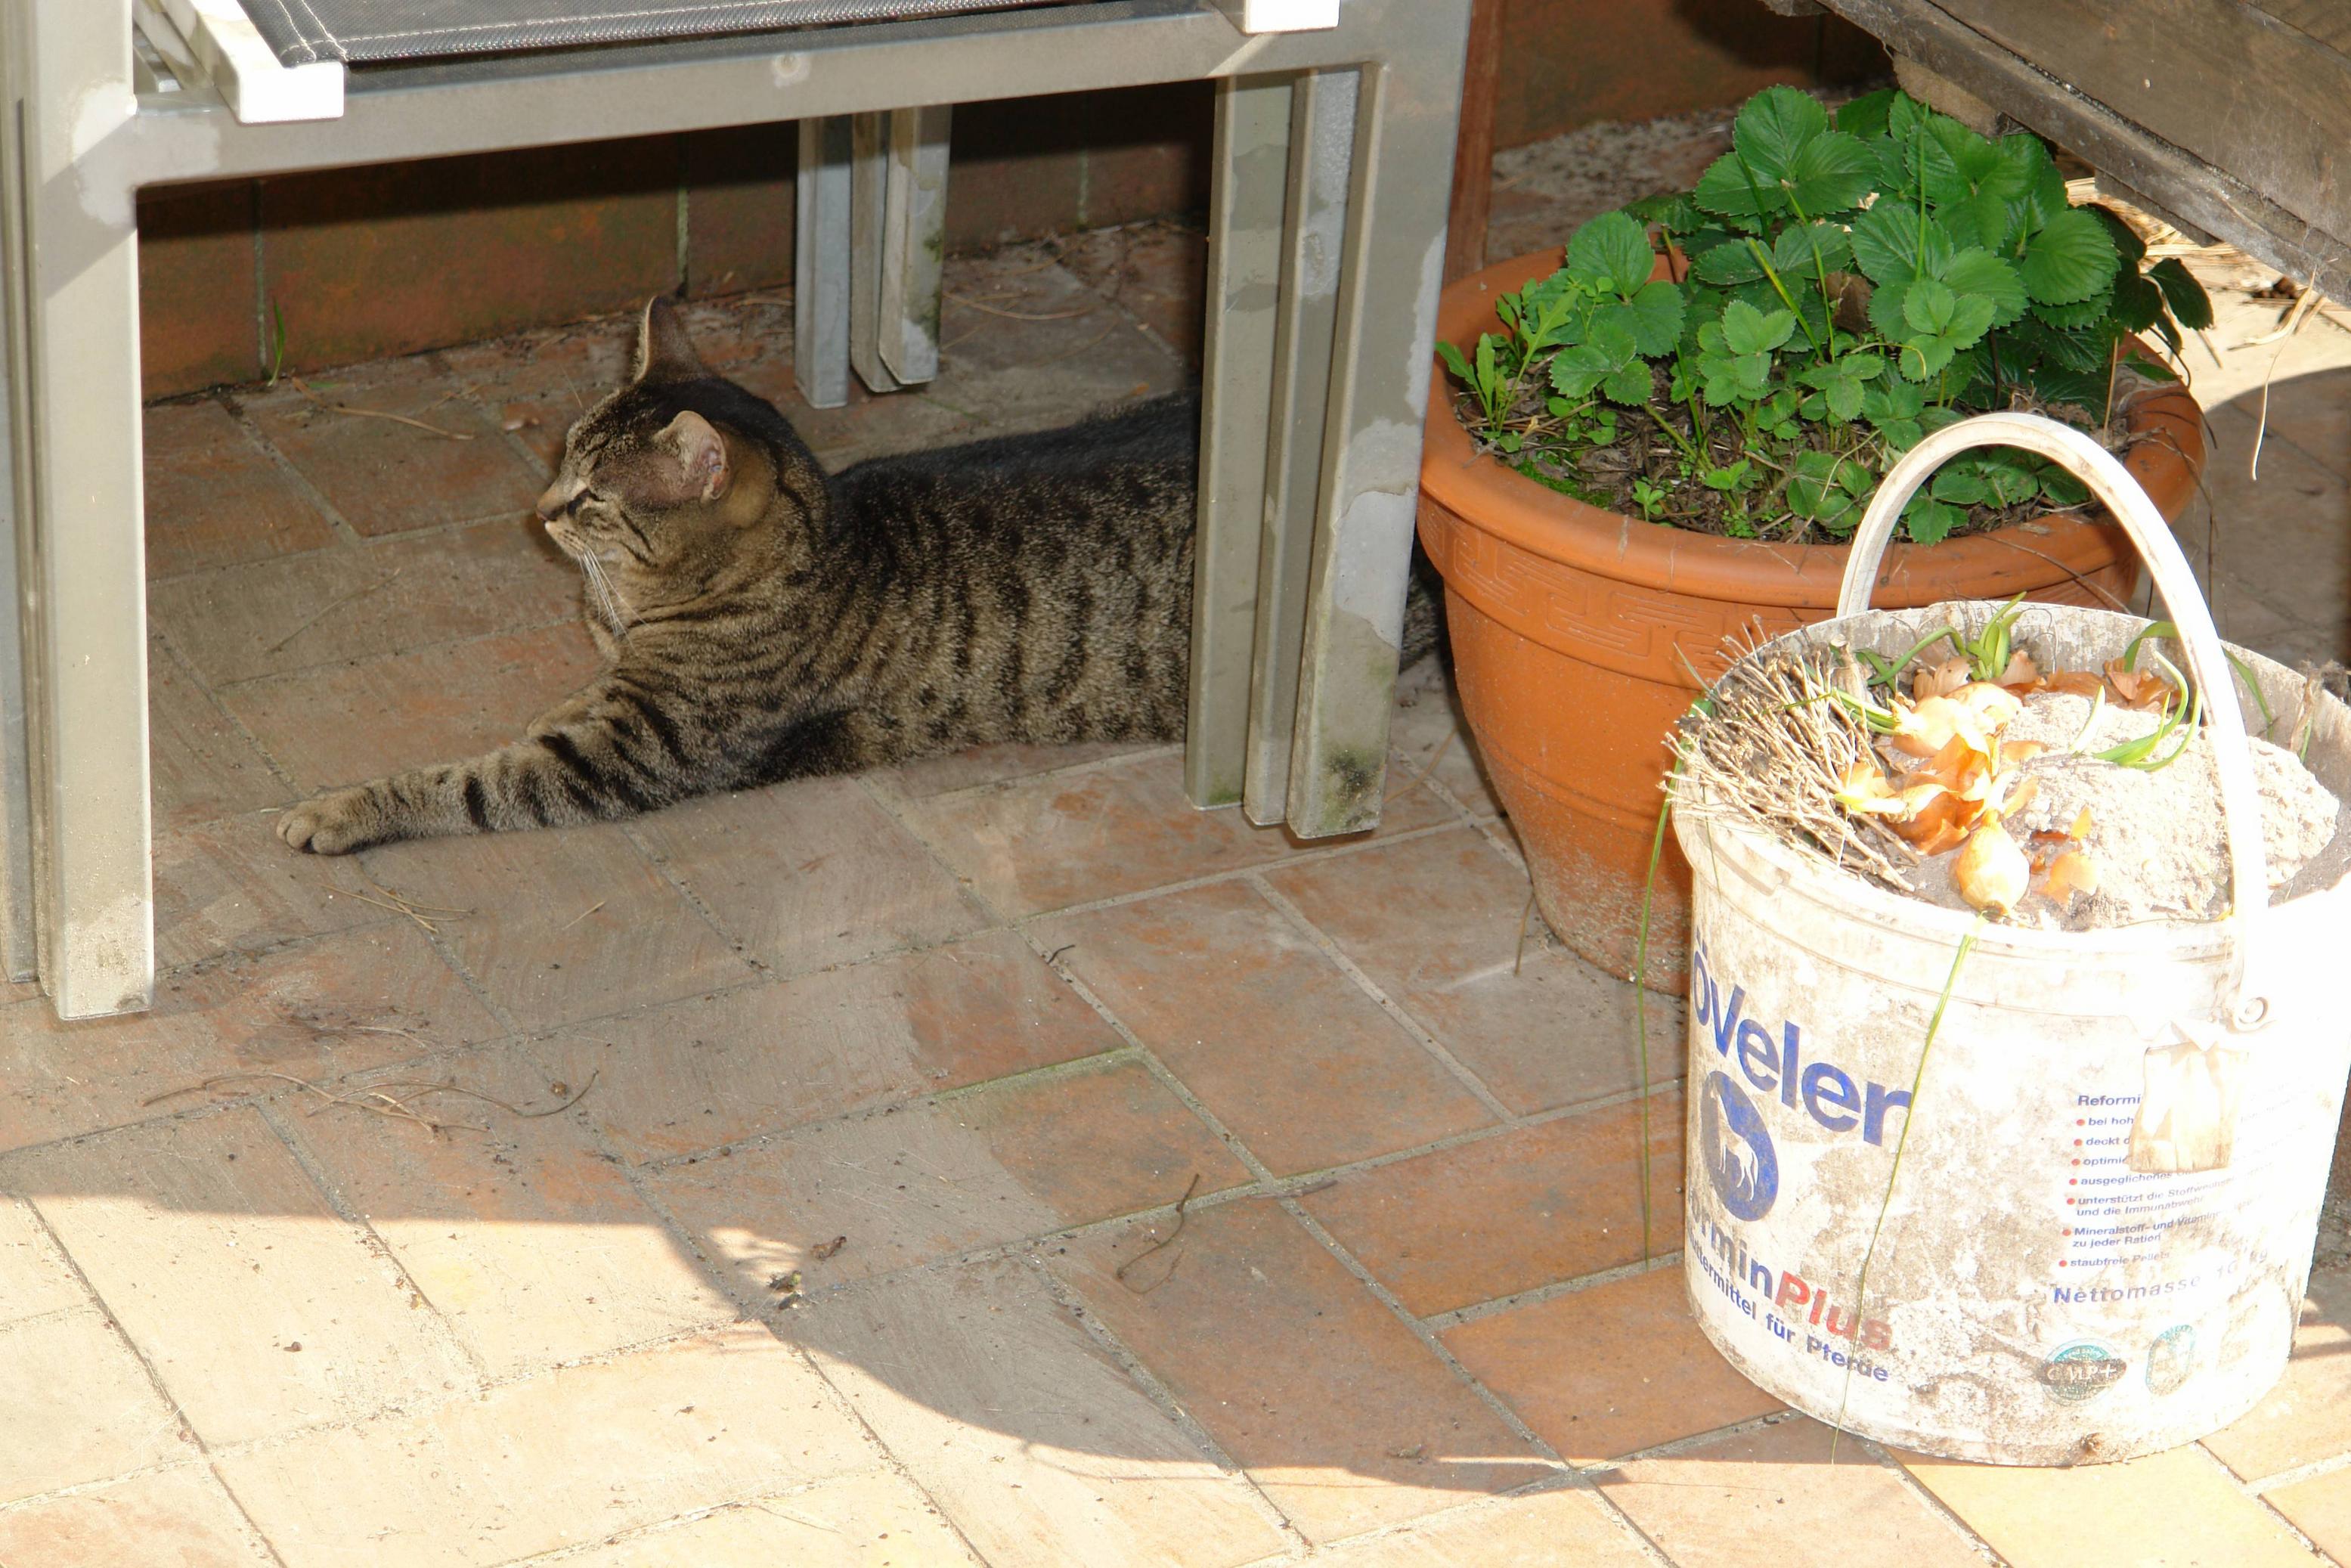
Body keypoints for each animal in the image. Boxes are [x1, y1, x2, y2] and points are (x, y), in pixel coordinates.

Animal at [284, 297, 1439, 860]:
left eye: (597, 497)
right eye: (562, 453)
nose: (541, 510)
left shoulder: (639, 750)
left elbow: (477, 779)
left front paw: (346, 808)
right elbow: (556, 708)